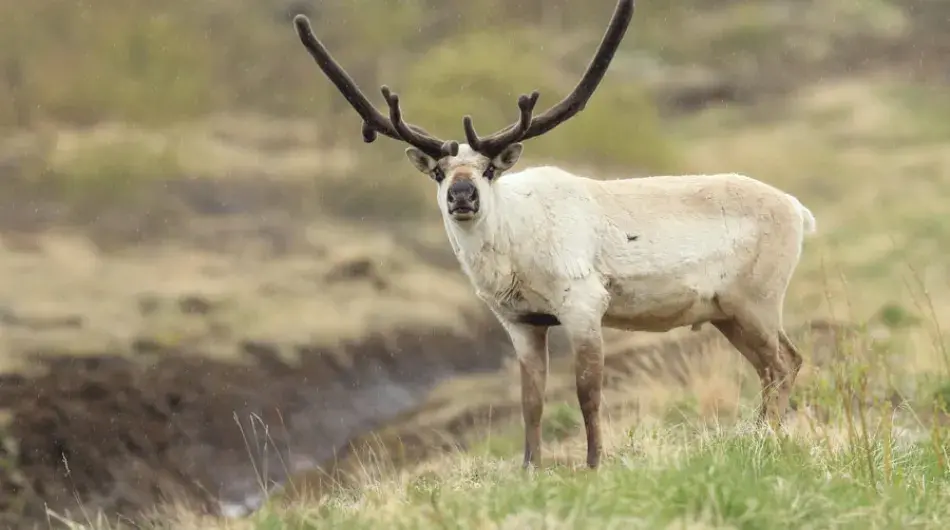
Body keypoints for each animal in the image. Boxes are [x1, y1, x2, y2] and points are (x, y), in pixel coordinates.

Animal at [291, 0, 816, 470]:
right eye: (439, 172)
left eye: (488, 169)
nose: (462, 195)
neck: (514, 255)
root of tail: (798, 209)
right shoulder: (521, 322)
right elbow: (532, 401)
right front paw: (530, 468)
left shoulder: (583, 305)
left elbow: (588, 392)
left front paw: (595, 463)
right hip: (726, 311)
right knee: (778, 364)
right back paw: (756, 434)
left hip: (756, 299)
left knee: (782, 363)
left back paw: (764, 438)